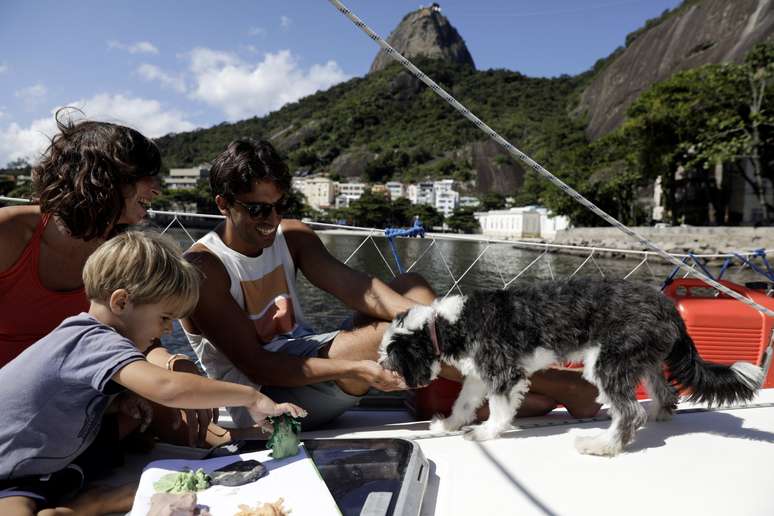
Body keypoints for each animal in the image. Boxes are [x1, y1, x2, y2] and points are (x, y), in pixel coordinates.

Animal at [382, 278, 764, 456]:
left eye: (391, 361)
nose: (383, 368)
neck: (449, 324)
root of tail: (667, 306)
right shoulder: (479, 374)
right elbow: (463, 404)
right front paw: (447, 425)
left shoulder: (505, 374)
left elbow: (500, 410)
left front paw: (485, 433)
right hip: (642, 358)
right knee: (664, 390)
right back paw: (660, 413)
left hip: (608, 361)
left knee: (629, 412)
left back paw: (603, 446)